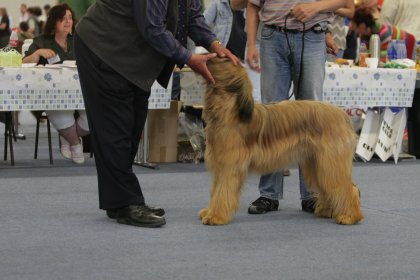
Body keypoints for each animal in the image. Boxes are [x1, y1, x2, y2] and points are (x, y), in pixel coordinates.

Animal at [199, 58, 362, 225]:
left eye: (222, 59)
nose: (206, 56)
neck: (227, 111)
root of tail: (342, 114)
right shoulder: (220, 166)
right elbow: (215, 190)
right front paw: (209, 211)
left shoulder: (229, 167)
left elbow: (222, 192)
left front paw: (215, 216)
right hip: (316, 163)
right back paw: (326, 211)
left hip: (330, 162)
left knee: (349, 188)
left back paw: (350, 216)